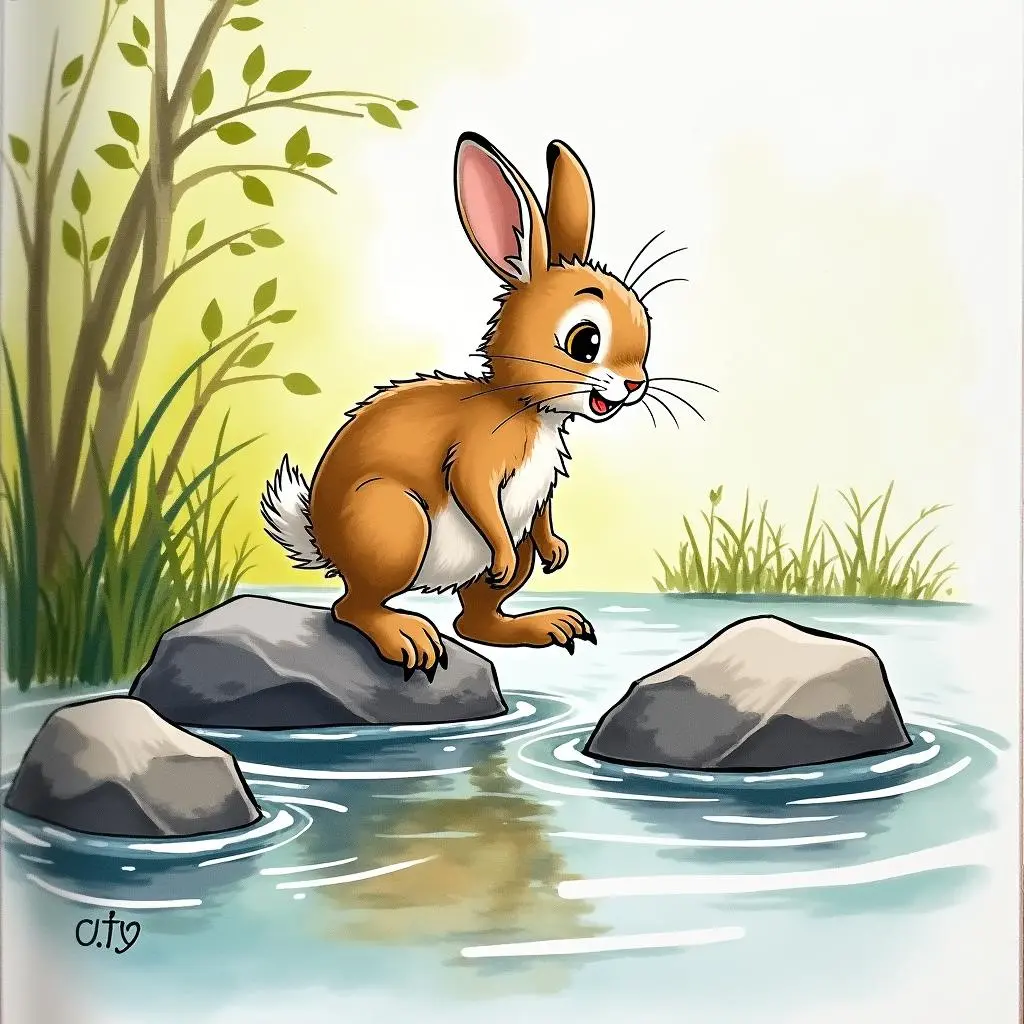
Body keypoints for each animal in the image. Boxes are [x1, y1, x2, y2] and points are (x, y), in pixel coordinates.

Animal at [261, 131, 653, 680]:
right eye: (585, 340)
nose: (636, 384)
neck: (527, 408)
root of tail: (322, 541)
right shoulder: (477, 455)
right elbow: (473, 491)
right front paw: (508, 558)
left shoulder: (539, 495)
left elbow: (543, 517)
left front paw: (558, 551)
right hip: (394, 525)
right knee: (352, 607)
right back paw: (408, 638)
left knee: (473, 620)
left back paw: (548, 626)